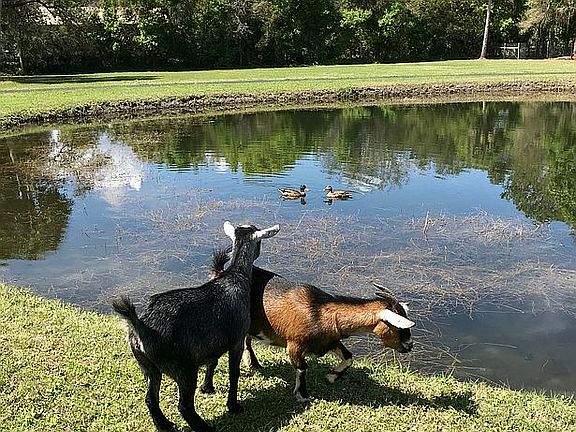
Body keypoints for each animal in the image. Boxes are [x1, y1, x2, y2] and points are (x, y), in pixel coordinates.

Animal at [112, 221, 280, 432]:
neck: (234, 277)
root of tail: (140, 326)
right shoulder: (237, 340)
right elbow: (234, 373)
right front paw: (233, 405)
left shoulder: (211, 343)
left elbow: (212, 363)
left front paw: (207, 388)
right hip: (183, 368)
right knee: (184, 405)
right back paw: (204, 427)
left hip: (148, 365)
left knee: (150, 398)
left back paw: (164, 424)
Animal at [203, 249, 414, 402]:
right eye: (399, 327)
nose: (410, 345)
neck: (319, 311)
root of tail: (219, 273)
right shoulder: (294, 345)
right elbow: (302, 368)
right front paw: (302, 395)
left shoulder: (330, 341)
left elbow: (349, 357)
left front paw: (331, 377)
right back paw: (209, 387)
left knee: (247, 340)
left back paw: (254, 364)